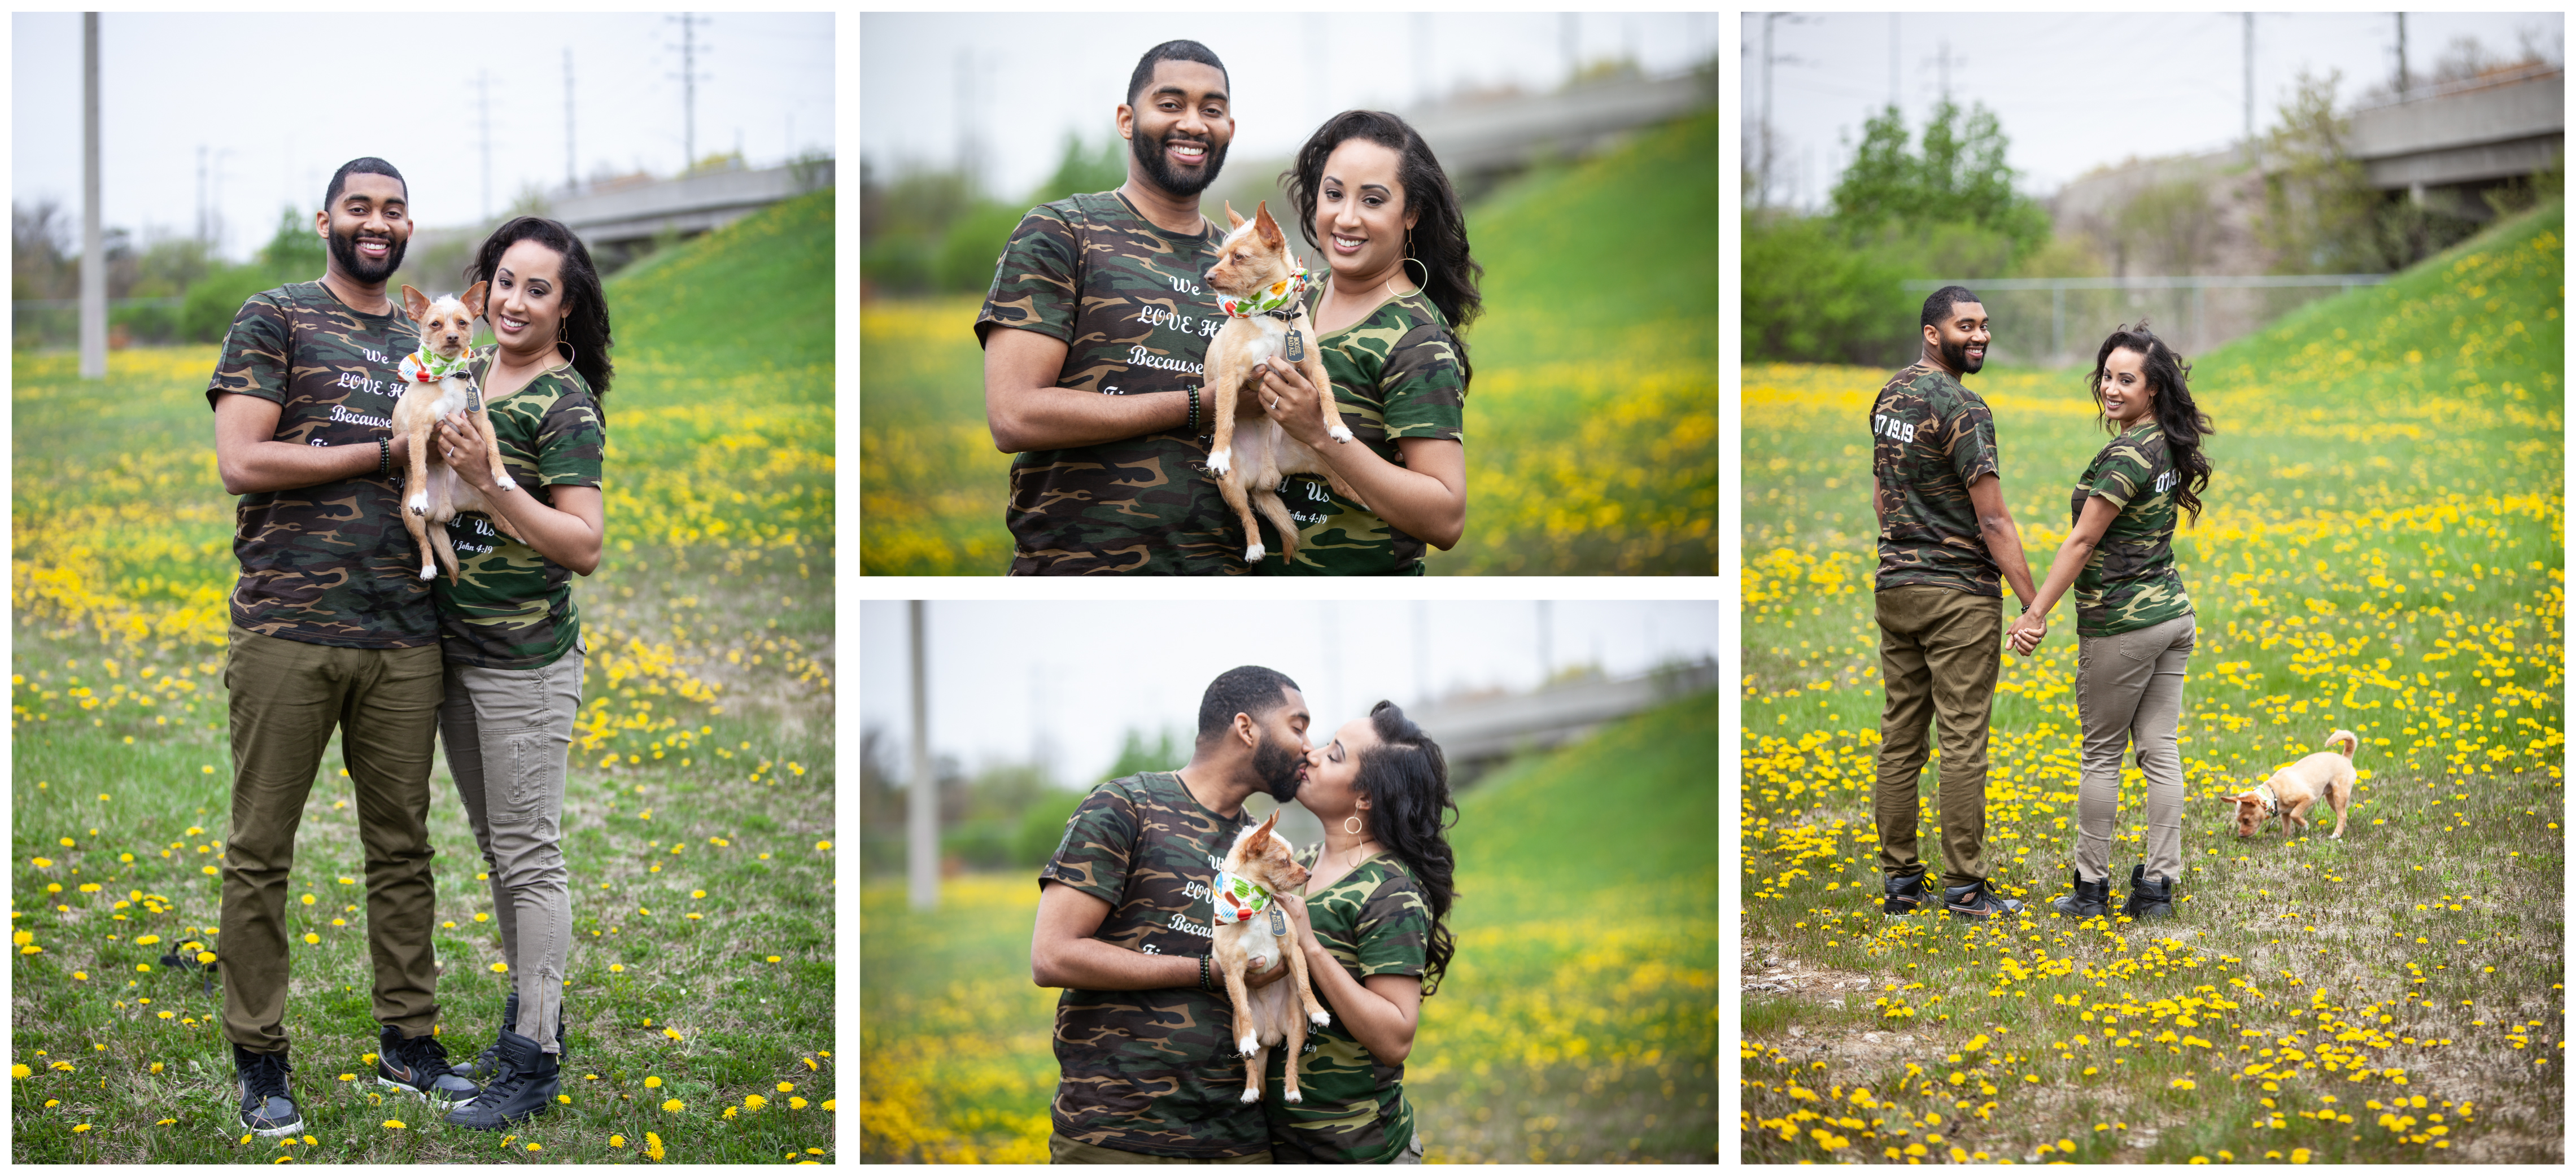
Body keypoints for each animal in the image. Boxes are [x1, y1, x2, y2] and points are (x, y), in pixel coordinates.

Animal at [391, 284, 517, 576]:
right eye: (435, 324)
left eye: (462, 323)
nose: (452, 337)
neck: (446, 374)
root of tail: (441, 514)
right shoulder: (419, 433)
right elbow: (420, 467)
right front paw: (420, 496)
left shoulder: (480, 421)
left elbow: (493, 450)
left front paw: (503, 477)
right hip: (410, 518)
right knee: (424, 541)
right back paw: (428, 567)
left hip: (486, 501)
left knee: (505, 522)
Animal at [1206, 199, 1370, 566]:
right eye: (1220, 255)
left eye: (1238, 257)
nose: (1208, 277)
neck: (1271, 312)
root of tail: (1264, 477)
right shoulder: (1232, 378)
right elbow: (1224, 420)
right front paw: (1219, 454)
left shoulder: (1312, 365)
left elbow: (1326, 395)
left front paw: (1337, 426)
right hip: (1231, 488)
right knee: (1247, 515)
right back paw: (1254, 547)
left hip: (1318, 458)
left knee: (1342, 482)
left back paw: (1367, 498)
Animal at [1206, 808, 1329, 1101]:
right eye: (1284, 861)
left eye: (1293, 858)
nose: (1308, 874)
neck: (1255, 903)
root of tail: (1272, 1036)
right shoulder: (1233, 971)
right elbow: (1242, 1005)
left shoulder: (1294, 951)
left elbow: (1305, 985)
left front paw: (1318, 1012)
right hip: (1237, 1034)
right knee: (1250, 1062)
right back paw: (1250, 1090)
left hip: (1296, 1030)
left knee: (1292, 1063)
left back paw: (1293, 1091)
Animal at [2225, 731, 2359, 838]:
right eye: (2239, 821)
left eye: (2246, 820)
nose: (2240, 835)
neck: (2273, 793)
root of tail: (2346, 758)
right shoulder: (2285, 814)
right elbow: (2286, 827)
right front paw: (2286, 840)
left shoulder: (2308, 799)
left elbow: (2295, 814)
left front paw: (2305, 825)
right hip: (2331, 799)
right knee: (2342, 814)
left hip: (2339, 794)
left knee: (2342, 815)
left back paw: (2336, 834)